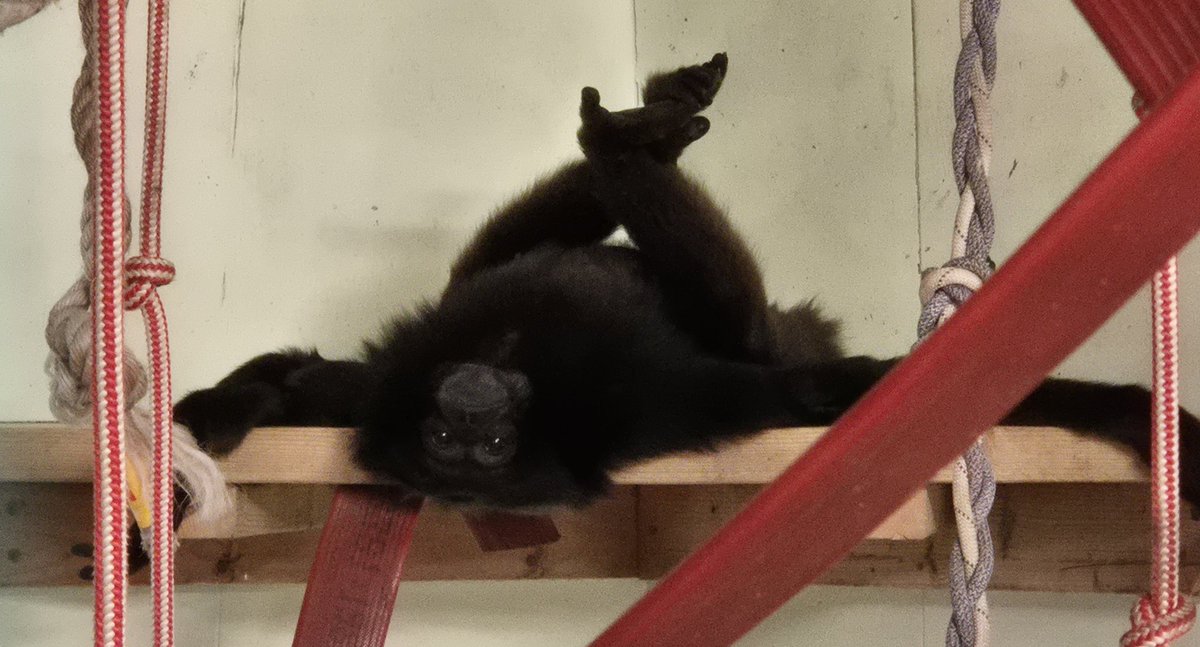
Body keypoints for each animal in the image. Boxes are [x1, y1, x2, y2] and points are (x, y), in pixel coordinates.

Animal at [174, 53, 1200, 511]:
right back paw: (635, 142)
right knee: (750, 326)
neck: (513, 357)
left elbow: (302, 374)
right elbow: (824, 393)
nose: (468, 407)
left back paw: (649, 120)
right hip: (749, 327)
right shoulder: (660, 403)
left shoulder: (380, 383)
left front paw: (212, 408)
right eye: (465, 443)